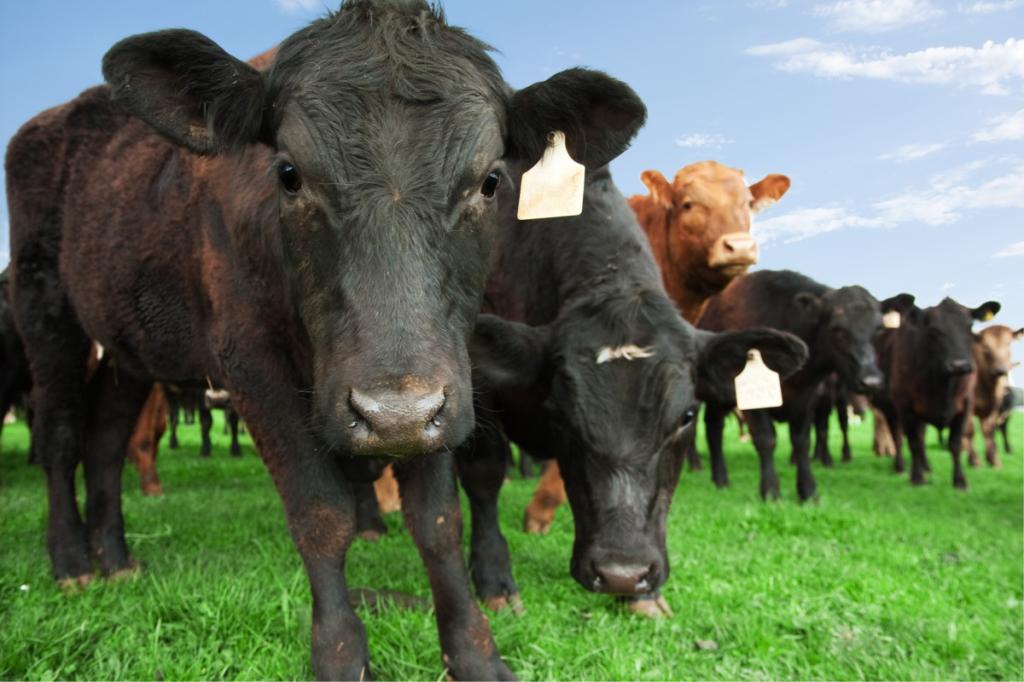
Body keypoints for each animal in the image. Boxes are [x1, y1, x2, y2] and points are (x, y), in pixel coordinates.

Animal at [4, 1, 649, 677]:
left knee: (105, 438)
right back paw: (72, 561)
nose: (392, 413)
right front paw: (340, 653)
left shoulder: (443, 380)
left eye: (492, 180)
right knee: (61, 435)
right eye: (289, 175)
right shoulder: (251, 362)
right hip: (44, 311)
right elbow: (321, 513)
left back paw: (116, 559)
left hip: (127, 343)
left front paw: (475, 652)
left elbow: (437, 521)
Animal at [698, 270, 884, 501]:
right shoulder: (752, 401)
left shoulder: (807, 397)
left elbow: (802, 441)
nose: (871, 380)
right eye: (837, 329)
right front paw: (770, 491)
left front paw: (808, 491)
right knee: (713, 427)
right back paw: (719, 478)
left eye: (878, 329)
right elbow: (766, 438)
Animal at [873, 295, 1000, 489]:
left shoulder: (966, 404)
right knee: (898, 436)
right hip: (890, 409)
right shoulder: (905, 405)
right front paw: (917, 477)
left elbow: (955, 443)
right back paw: (900, 466)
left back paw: (926, 466)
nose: (959, 365)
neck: (943, 385)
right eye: (933, 331)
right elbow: (913, 441)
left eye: (969, 326)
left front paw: (960, 481)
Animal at [963, 325, 1022, 468]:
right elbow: (970, 430)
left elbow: (989, 430)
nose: (1000, 370)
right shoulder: (968, 405)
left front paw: (994, 460)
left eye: (1008, 343)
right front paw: (975, 461)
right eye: (985, 346)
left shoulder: (995, 406)